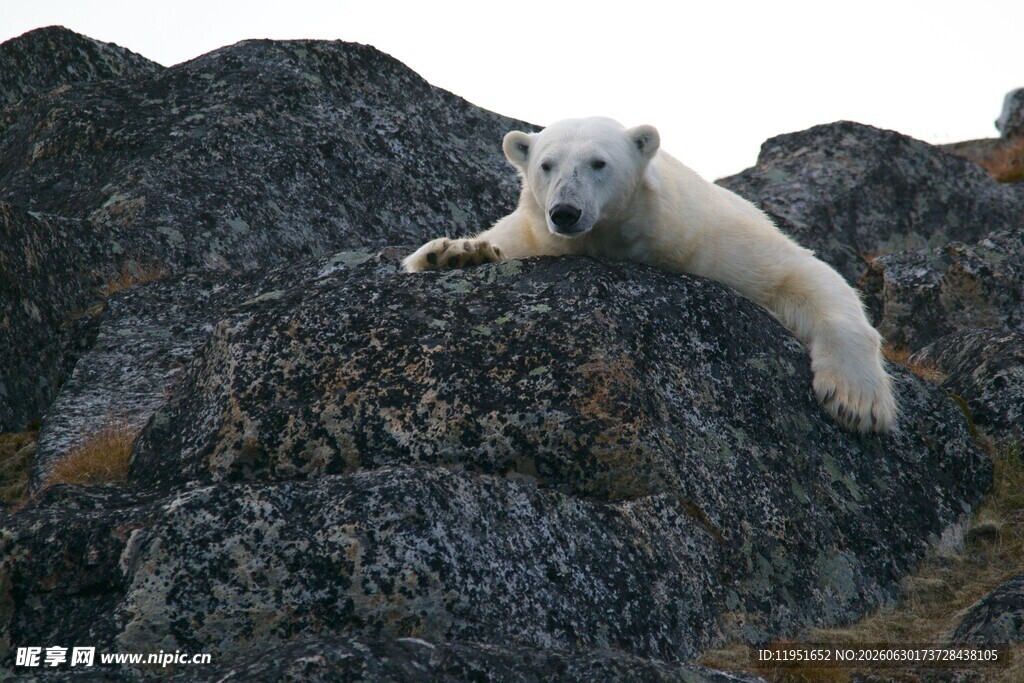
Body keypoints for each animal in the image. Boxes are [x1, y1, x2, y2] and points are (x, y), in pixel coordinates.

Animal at [403, 117, 896, 433]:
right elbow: (492, 243)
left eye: (599, 162)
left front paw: (856, 402)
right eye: (546, 164)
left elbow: (801, 274)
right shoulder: (532, 233)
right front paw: (455, 254)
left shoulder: (708, 238)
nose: (565, 211)